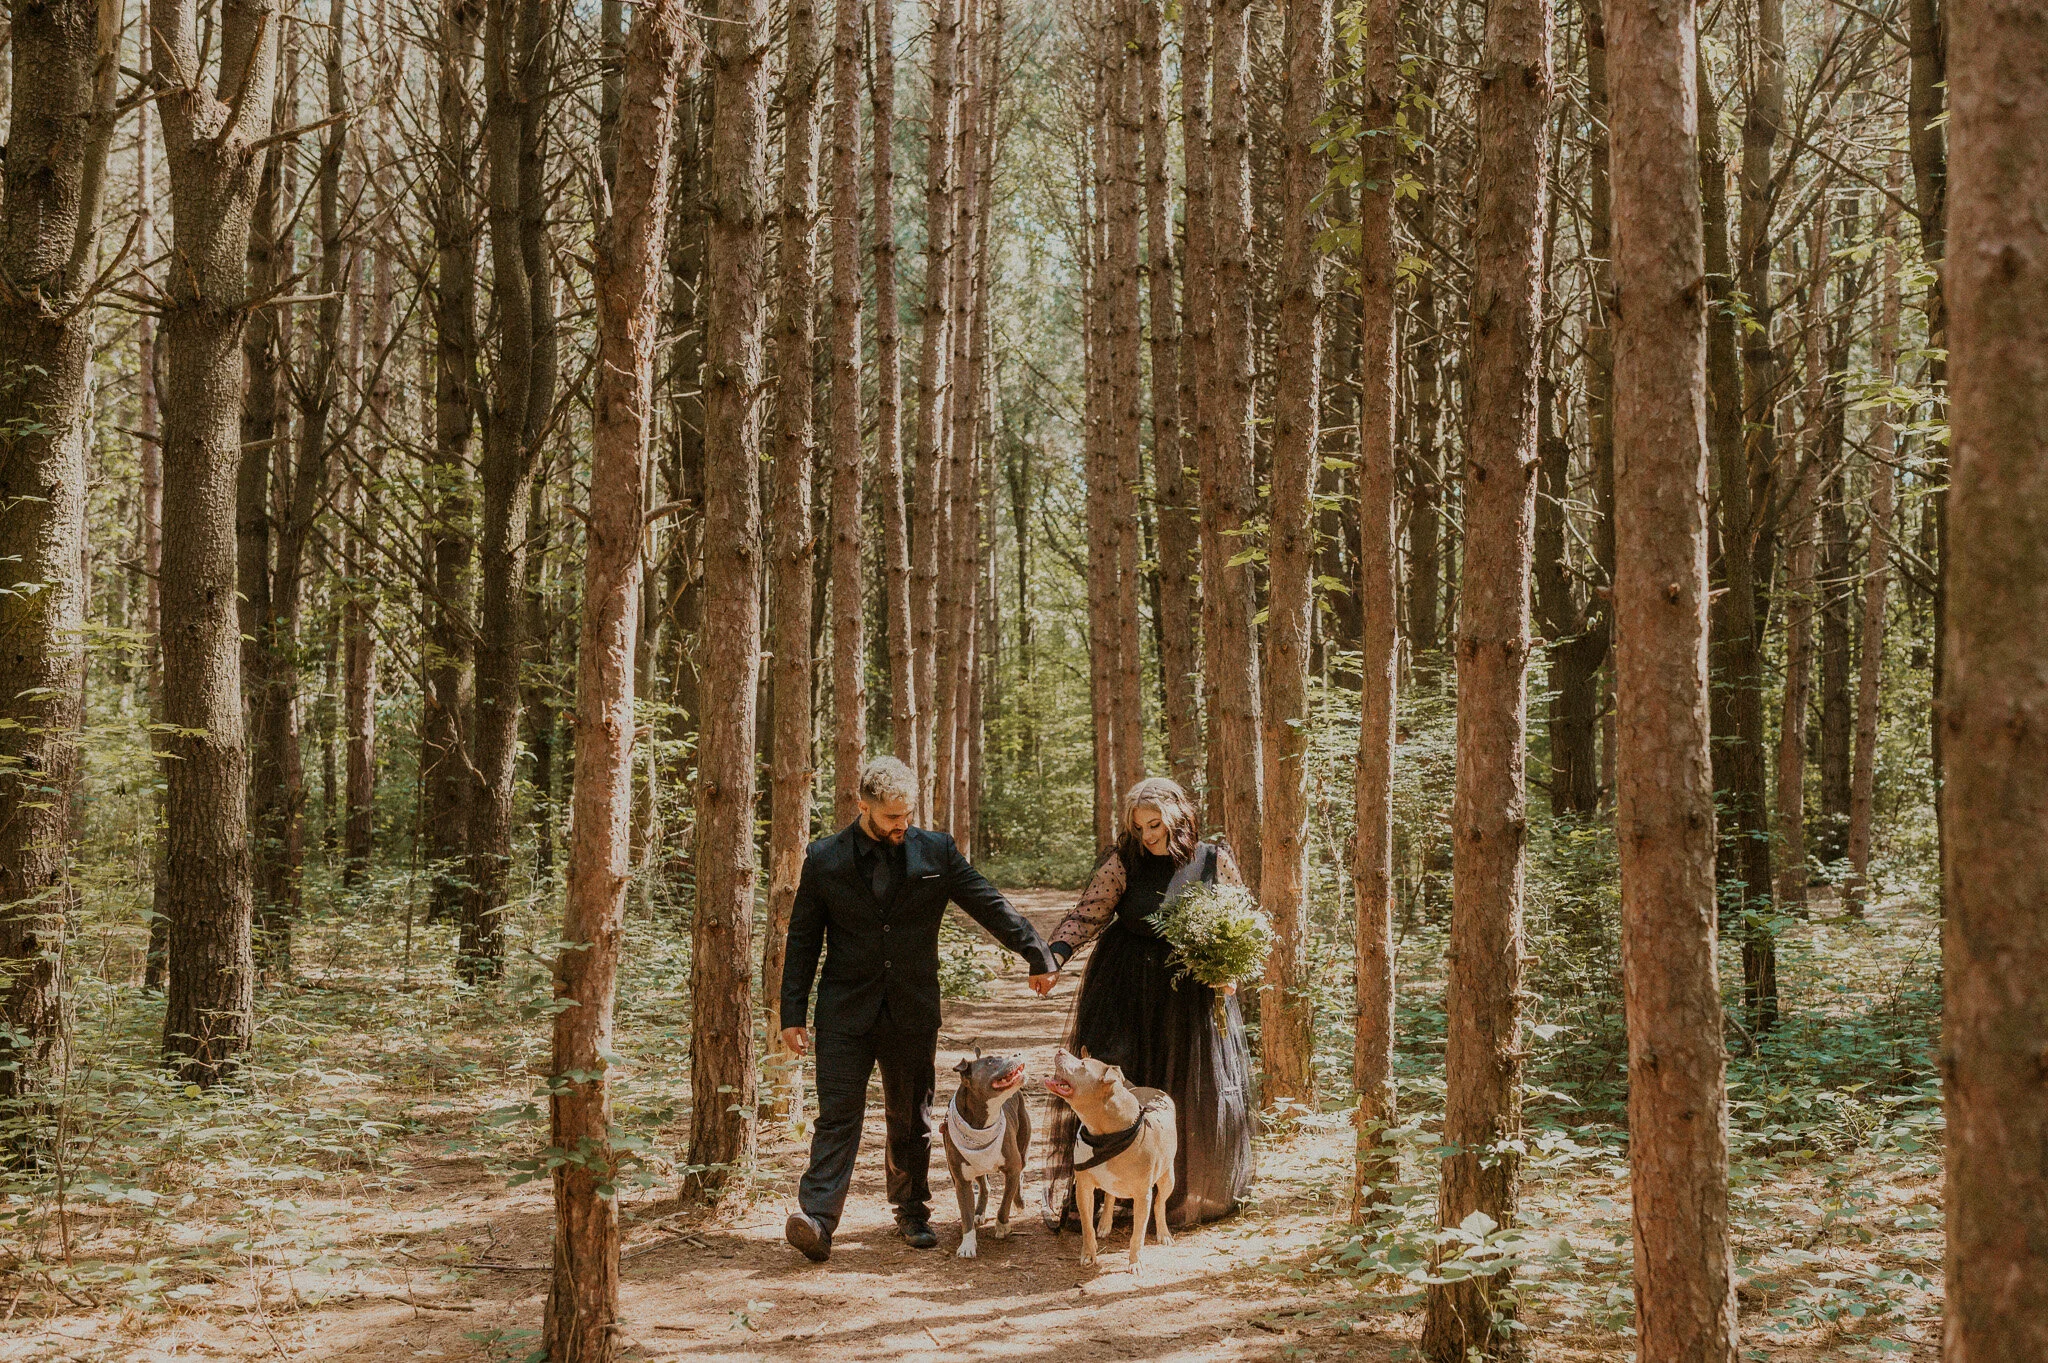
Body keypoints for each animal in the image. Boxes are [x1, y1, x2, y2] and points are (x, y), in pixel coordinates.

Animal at [1048, 1043, 1179, 1268]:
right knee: (1110, 1195)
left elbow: (1138, 1234)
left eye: (1082, 1065)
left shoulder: (1142, 1196)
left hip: (1168, 1177)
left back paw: (1163, 1233)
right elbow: (1087, 1226)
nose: (1060, 1051)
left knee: (1160, 1202)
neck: (1107, 1136)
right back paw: (1105, 1224)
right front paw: (1089, 1253)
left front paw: (1135, 1262)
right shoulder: (1084, 1188)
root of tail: (1150, 1089)